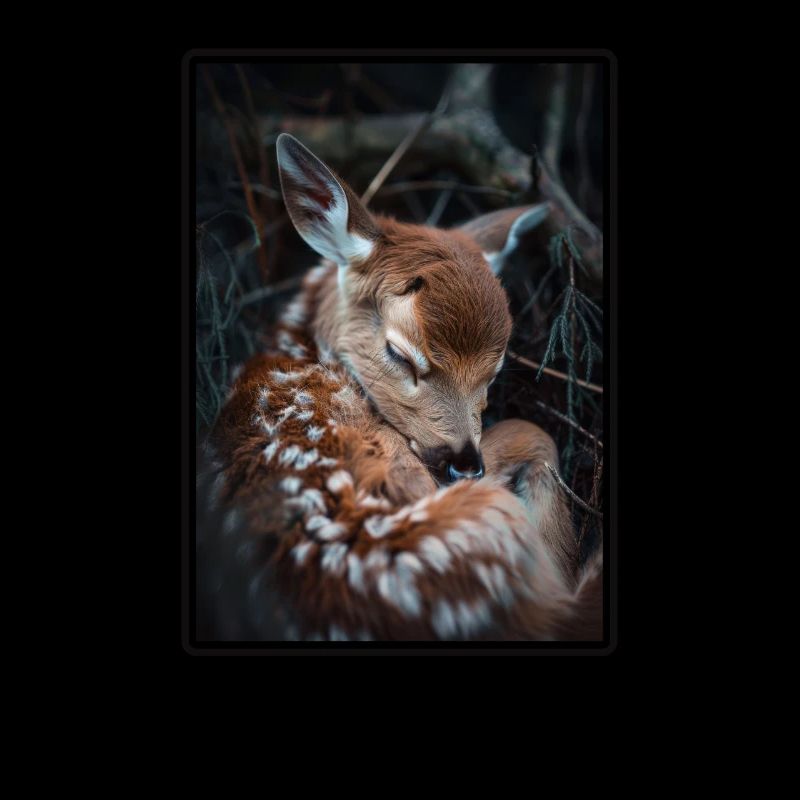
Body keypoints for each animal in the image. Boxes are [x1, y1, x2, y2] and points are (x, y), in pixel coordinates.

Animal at [202, 133, 603, 642]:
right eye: (399, 354)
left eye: (494, 371)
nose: (464, 463)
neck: (301, 348)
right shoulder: (407, 466)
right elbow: (532, 432)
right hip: (480, 520)